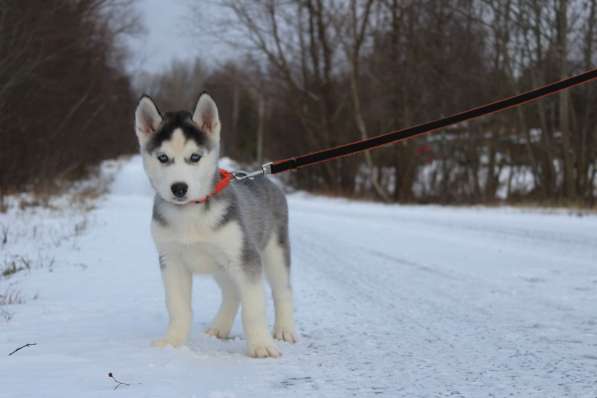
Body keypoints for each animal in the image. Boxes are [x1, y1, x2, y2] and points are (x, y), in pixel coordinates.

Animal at [134, 93, 294, 358]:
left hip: (274, 252)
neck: (191, 215)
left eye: (195, 157)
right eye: (163, 158)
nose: (179, 188)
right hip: (221, 266)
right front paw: (172, 341)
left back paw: (284, 330)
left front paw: (261, 345)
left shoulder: (246, 258)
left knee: (282, 290)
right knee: (232, 293)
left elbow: (254, 308)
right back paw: (219, 327)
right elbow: (177, 307)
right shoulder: (171, 261)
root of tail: (265, 178)